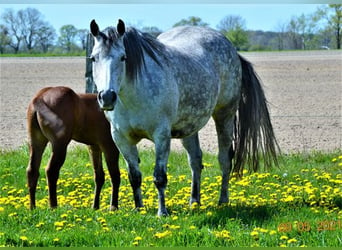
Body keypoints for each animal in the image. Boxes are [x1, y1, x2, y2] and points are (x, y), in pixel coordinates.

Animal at [89, 19, 278, 216]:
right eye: (93, 58)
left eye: (123, 57)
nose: (107, 97)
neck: (133, 94)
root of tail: (232, 48)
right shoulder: (121, 138)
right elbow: (135, 177)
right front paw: (139, 209)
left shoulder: (161, 136)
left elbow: (159, 177)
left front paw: (162, 212)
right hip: (189, 127)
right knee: (195, 161)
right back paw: (194, 202)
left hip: (224, 116)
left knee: (225, 160)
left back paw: (223, 201)